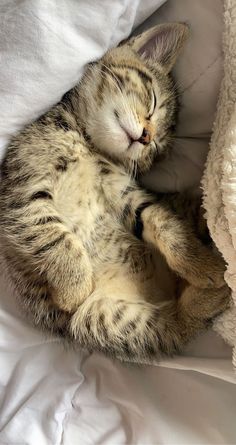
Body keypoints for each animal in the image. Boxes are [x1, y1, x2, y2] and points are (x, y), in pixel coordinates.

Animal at [0, 22, 230, 360]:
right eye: (152, 102)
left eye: (156, 148)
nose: (146, 138)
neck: (87, 142)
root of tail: (164, 287)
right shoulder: (22, 192)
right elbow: (53, 235)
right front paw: (74, 285)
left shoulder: (128, 197)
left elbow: (165, 224)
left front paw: (200, 264)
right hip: (99, 320)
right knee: (172, 327)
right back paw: (214, 295)